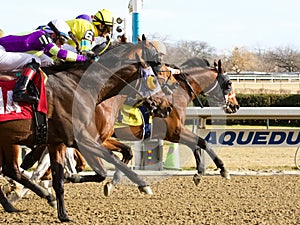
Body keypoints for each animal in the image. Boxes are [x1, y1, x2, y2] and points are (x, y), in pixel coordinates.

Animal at [0, 40, 171, 221]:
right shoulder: (81, 139)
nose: (167, 108)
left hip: (8, 139)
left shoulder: (58, 142)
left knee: (12, 169)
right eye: (154, 78)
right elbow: (108, 164)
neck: (81, 87)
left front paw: (63, 213)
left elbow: (61, 179)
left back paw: (20, 201)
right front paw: (142, 184)